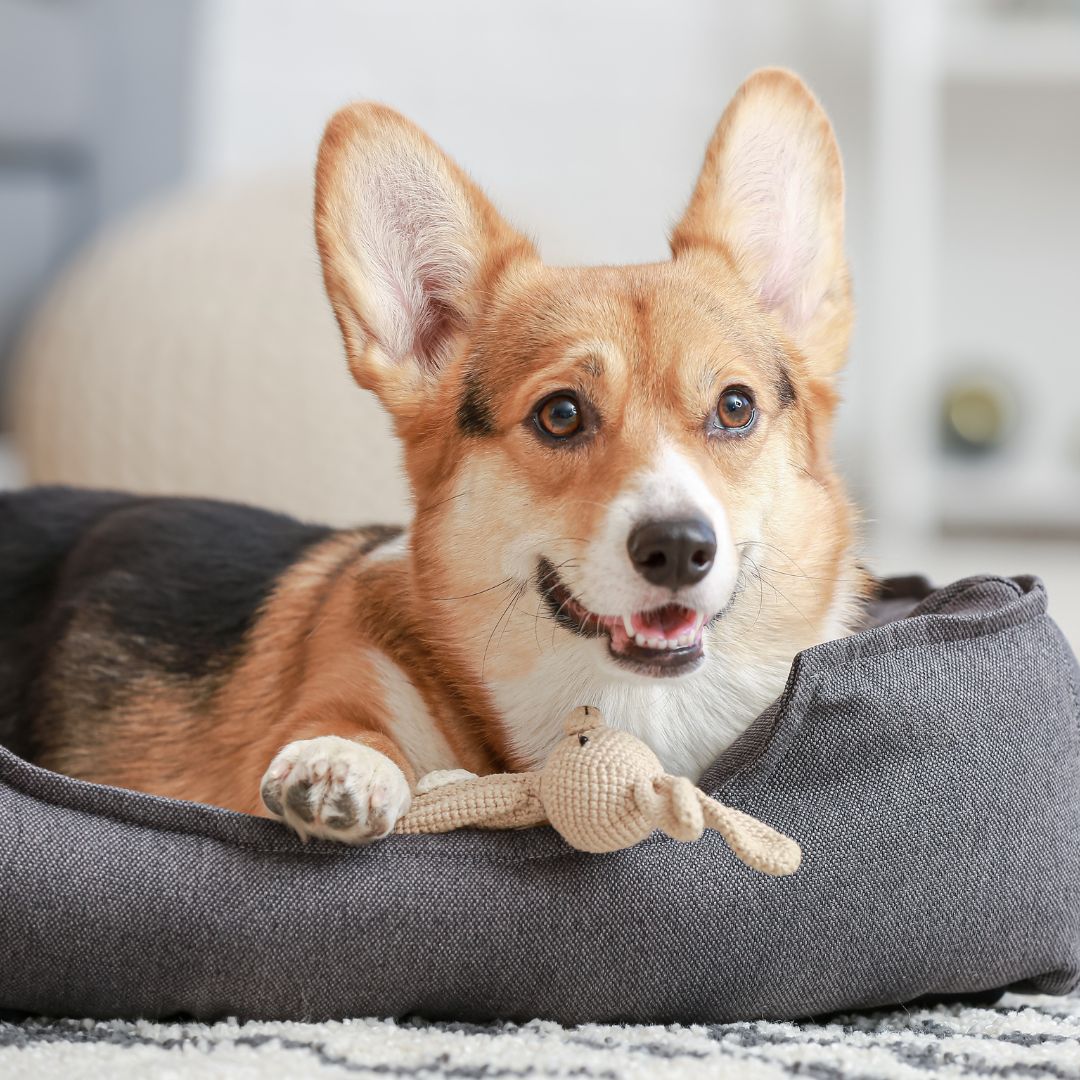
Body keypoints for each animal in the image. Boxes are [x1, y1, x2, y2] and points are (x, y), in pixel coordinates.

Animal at [0, 69, 864, 842]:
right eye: (560, 415)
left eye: (735, 407)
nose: (679, 548)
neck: (621, 705)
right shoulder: (347, 680)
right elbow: (347, 729)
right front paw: (342, 765)